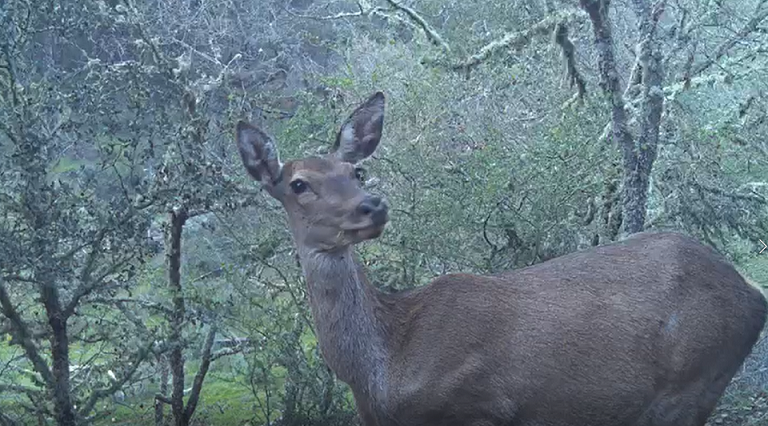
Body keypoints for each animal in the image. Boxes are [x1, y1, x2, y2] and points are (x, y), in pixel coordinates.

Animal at [234, 91, 768, 424]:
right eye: (298, 184)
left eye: (356, 171)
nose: (372, 205)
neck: (383, 372)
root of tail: (751, 291)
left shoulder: (480, 405)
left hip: (691, 383)